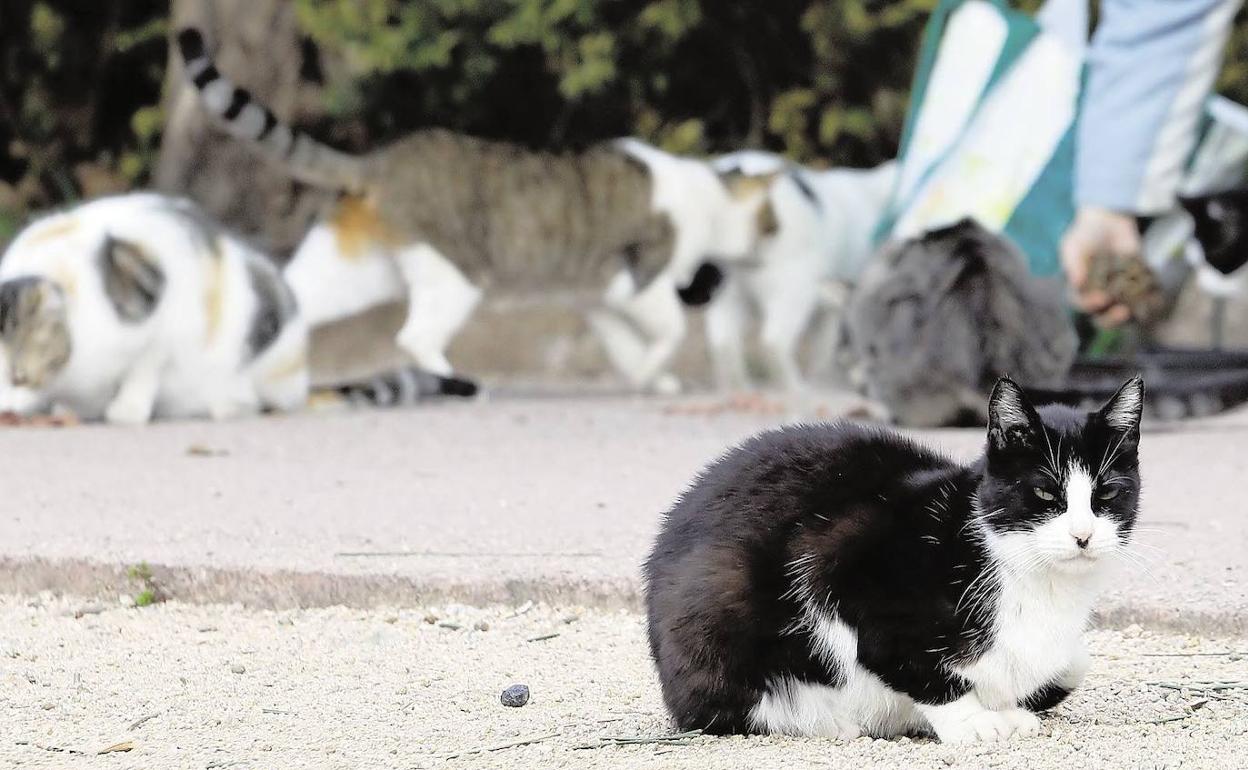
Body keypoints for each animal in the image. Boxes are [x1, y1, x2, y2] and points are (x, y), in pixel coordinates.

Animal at [170, 28, 763, 396]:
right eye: (710, 273)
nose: (711, 285)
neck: (708, 192)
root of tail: (379, 163)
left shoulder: (597, 298)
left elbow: (624, 346)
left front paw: (648, 379)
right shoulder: (639, 280)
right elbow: (669, 330)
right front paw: (656, 369)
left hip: (355, 269)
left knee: (288, 299)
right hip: (455, 273)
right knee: (414, 338)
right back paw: (457, 384)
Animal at [643, 374, 1143, 743]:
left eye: (1107, 494)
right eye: (1043, 492)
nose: (1082, 535)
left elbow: (1068, 663)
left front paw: (1003, 710)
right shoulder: (841, 564)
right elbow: (906, 661)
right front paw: (973, 720)